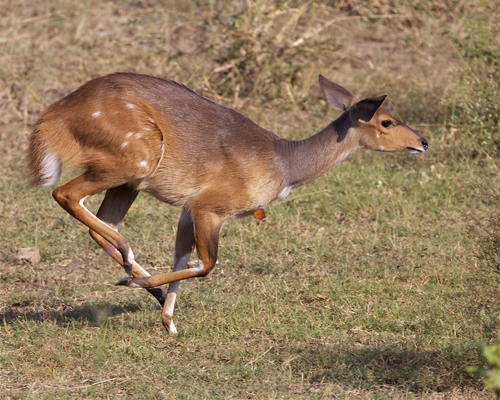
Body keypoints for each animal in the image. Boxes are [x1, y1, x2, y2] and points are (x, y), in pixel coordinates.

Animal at [26, 73, 426, 332]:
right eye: (387, 122)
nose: (422, 141)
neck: (283, 163)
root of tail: (53, 118)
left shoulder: (188, 209)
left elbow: (182, 256)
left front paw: (168, 320)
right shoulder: (210, 208)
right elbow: (207, 264)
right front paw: (150, 301)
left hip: (130, 181)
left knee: (104, 224)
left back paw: (141, 276)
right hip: (134, 159)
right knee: (66, 195)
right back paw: (131, 265)